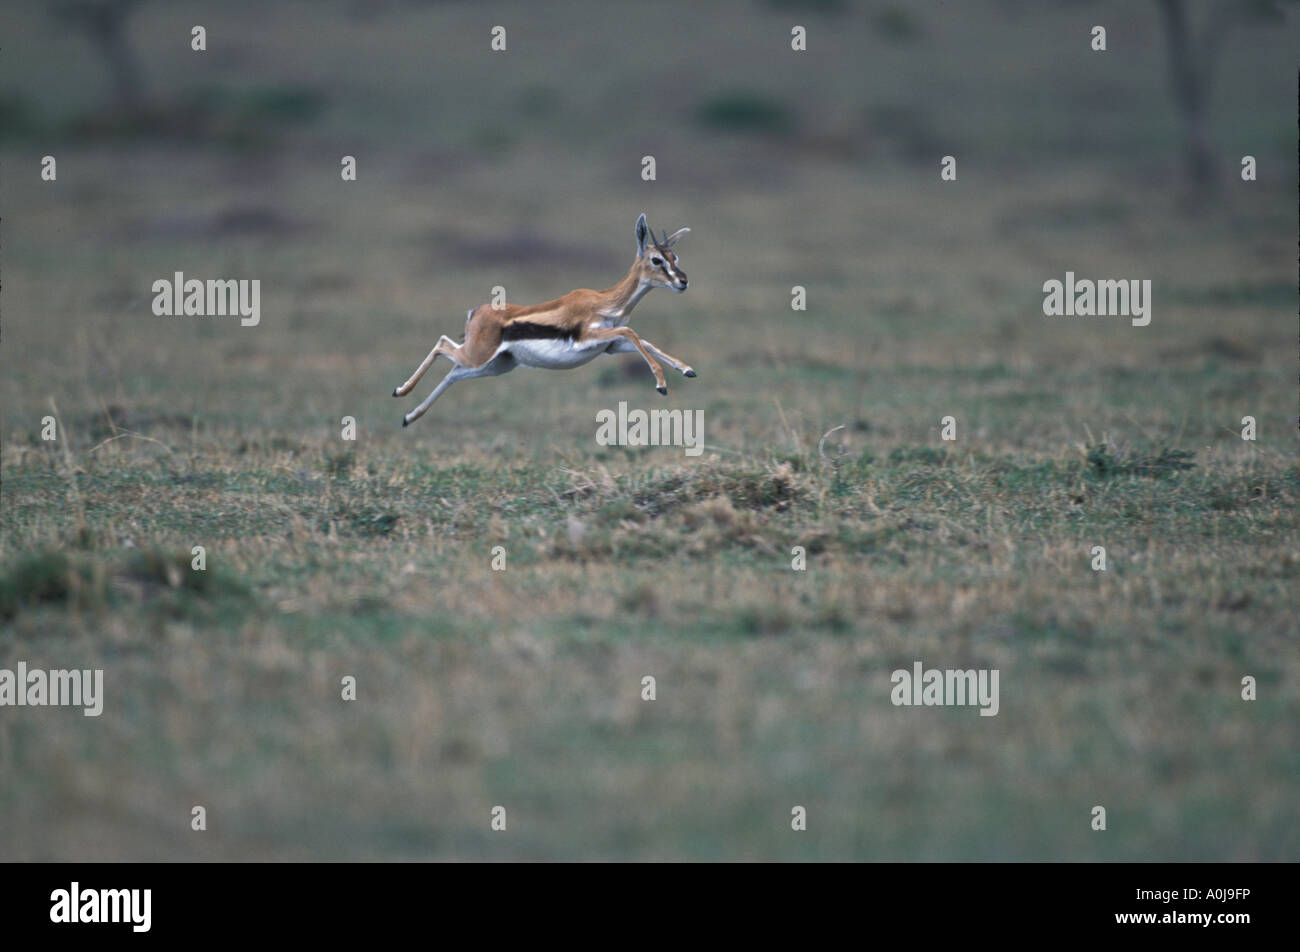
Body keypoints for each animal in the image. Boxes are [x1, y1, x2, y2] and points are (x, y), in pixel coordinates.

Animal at [393, 213, 694, 427]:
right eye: (656, 260)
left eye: (675, 257)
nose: (683, 281)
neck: (605, 302)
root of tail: (477, 311)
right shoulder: (589, 338)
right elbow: (632, 332)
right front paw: (662, 385)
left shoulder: (610, 346)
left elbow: (643, 340)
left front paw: (687, 369)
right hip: (478, 357)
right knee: (442, 344)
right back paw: (400, 391)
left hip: (495, 366)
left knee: (453, 372)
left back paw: (409, 417)